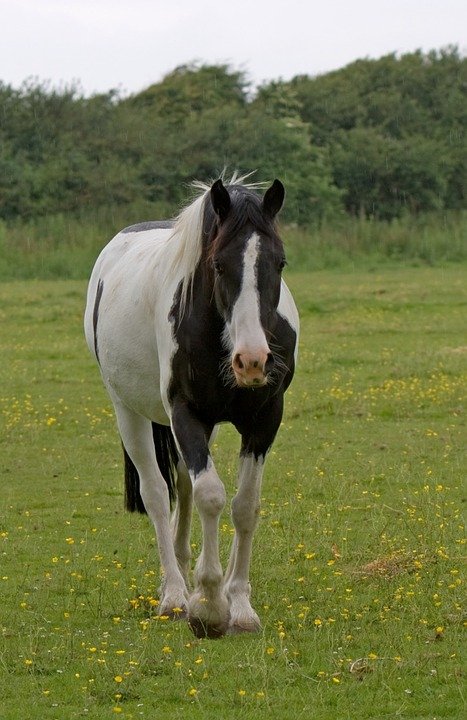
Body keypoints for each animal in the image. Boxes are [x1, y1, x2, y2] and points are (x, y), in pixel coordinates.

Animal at [84, 173, 300, 636]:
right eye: (218, 265)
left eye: (279, 263)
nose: (252, 361)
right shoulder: (186, 414)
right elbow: (211, 496)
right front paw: (209, 605)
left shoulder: (264, 420)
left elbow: (244, 506)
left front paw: (239, 606)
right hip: (129, 411)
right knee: (157, 492)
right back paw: (174, 594)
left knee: (182, 485)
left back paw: (184, 571)